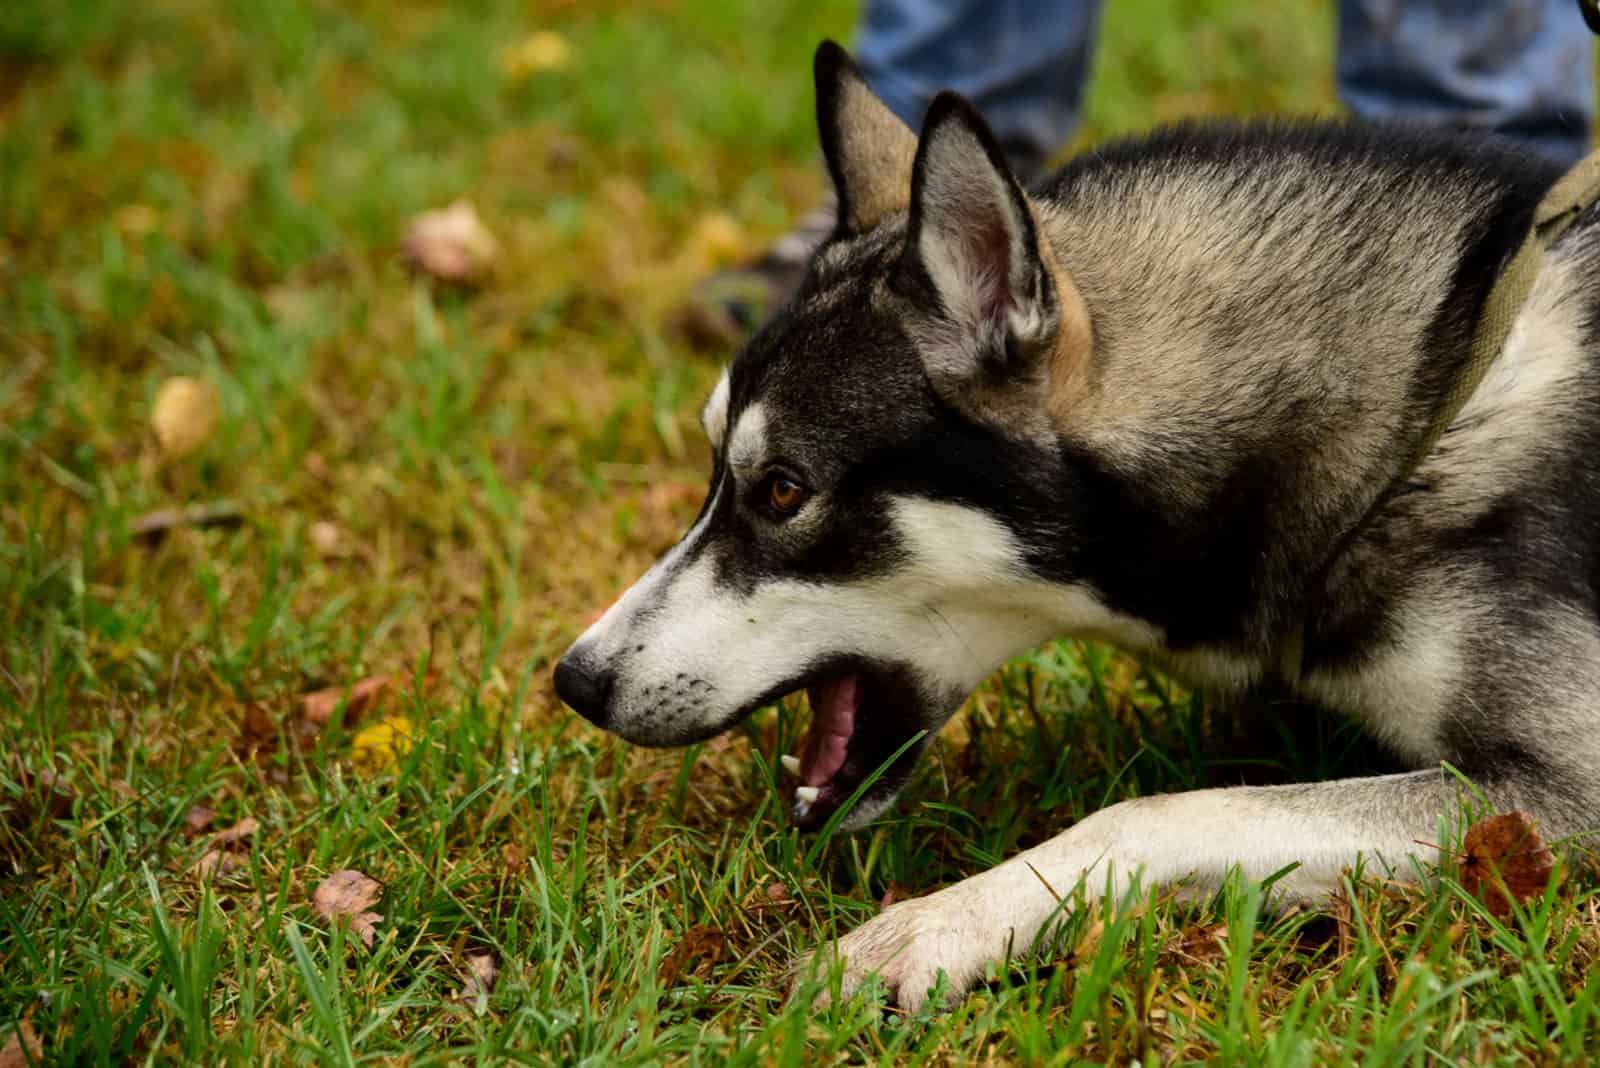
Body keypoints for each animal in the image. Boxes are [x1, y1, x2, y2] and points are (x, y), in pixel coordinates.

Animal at [553, 41, 1600, 1010]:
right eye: (716, 470)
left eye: (780, 491)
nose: (574, 682)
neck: (1417, 425)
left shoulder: (1558, 798)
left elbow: (1160, 812)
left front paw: (936, 925)